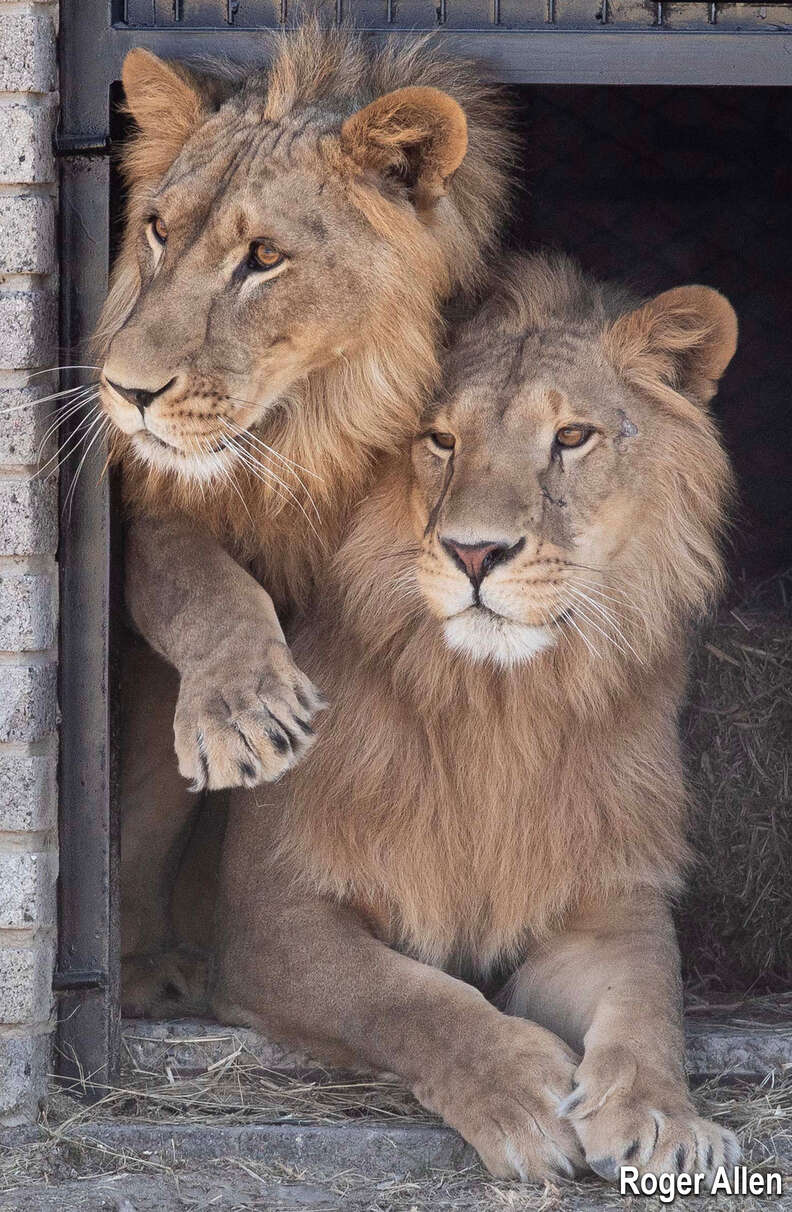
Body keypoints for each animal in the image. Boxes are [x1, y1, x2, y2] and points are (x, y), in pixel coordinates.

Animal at [94, 23, 513, 1000]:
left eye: (263, 258)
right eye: (158, 230)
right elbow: (203, 585)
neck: (302, 431)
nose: (125, 392)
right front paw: (241, 712)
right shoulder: (154, 509)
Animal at [209, 253, 740, 1183]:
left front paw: (664, 1119)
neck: (499, 707)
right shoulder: (266, 912)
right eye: (440, 440)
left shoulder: (607, 897)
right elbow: (400, 995)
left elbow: (651, 999)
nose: (474, 552)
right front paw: (519, 1091)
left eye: (572, 437)